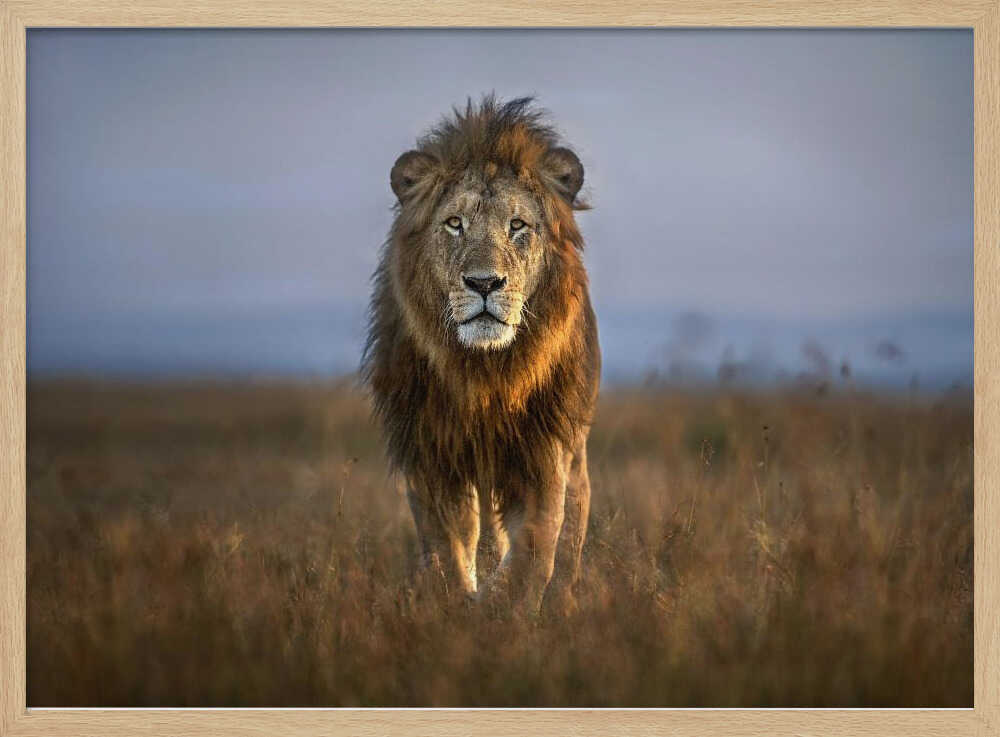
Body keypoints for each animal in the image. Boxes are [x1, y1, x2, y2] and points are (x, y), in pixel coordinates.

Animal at [363, 96, 600, 614]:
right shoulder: (431, 452)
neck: (485, 371)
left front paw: (501, 607)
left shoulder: (543, 451)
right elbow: (448, 546)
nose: (485, 283)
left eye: (518, 226)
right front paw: (458, 604)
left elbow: (535, 546)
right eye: (455, 223)